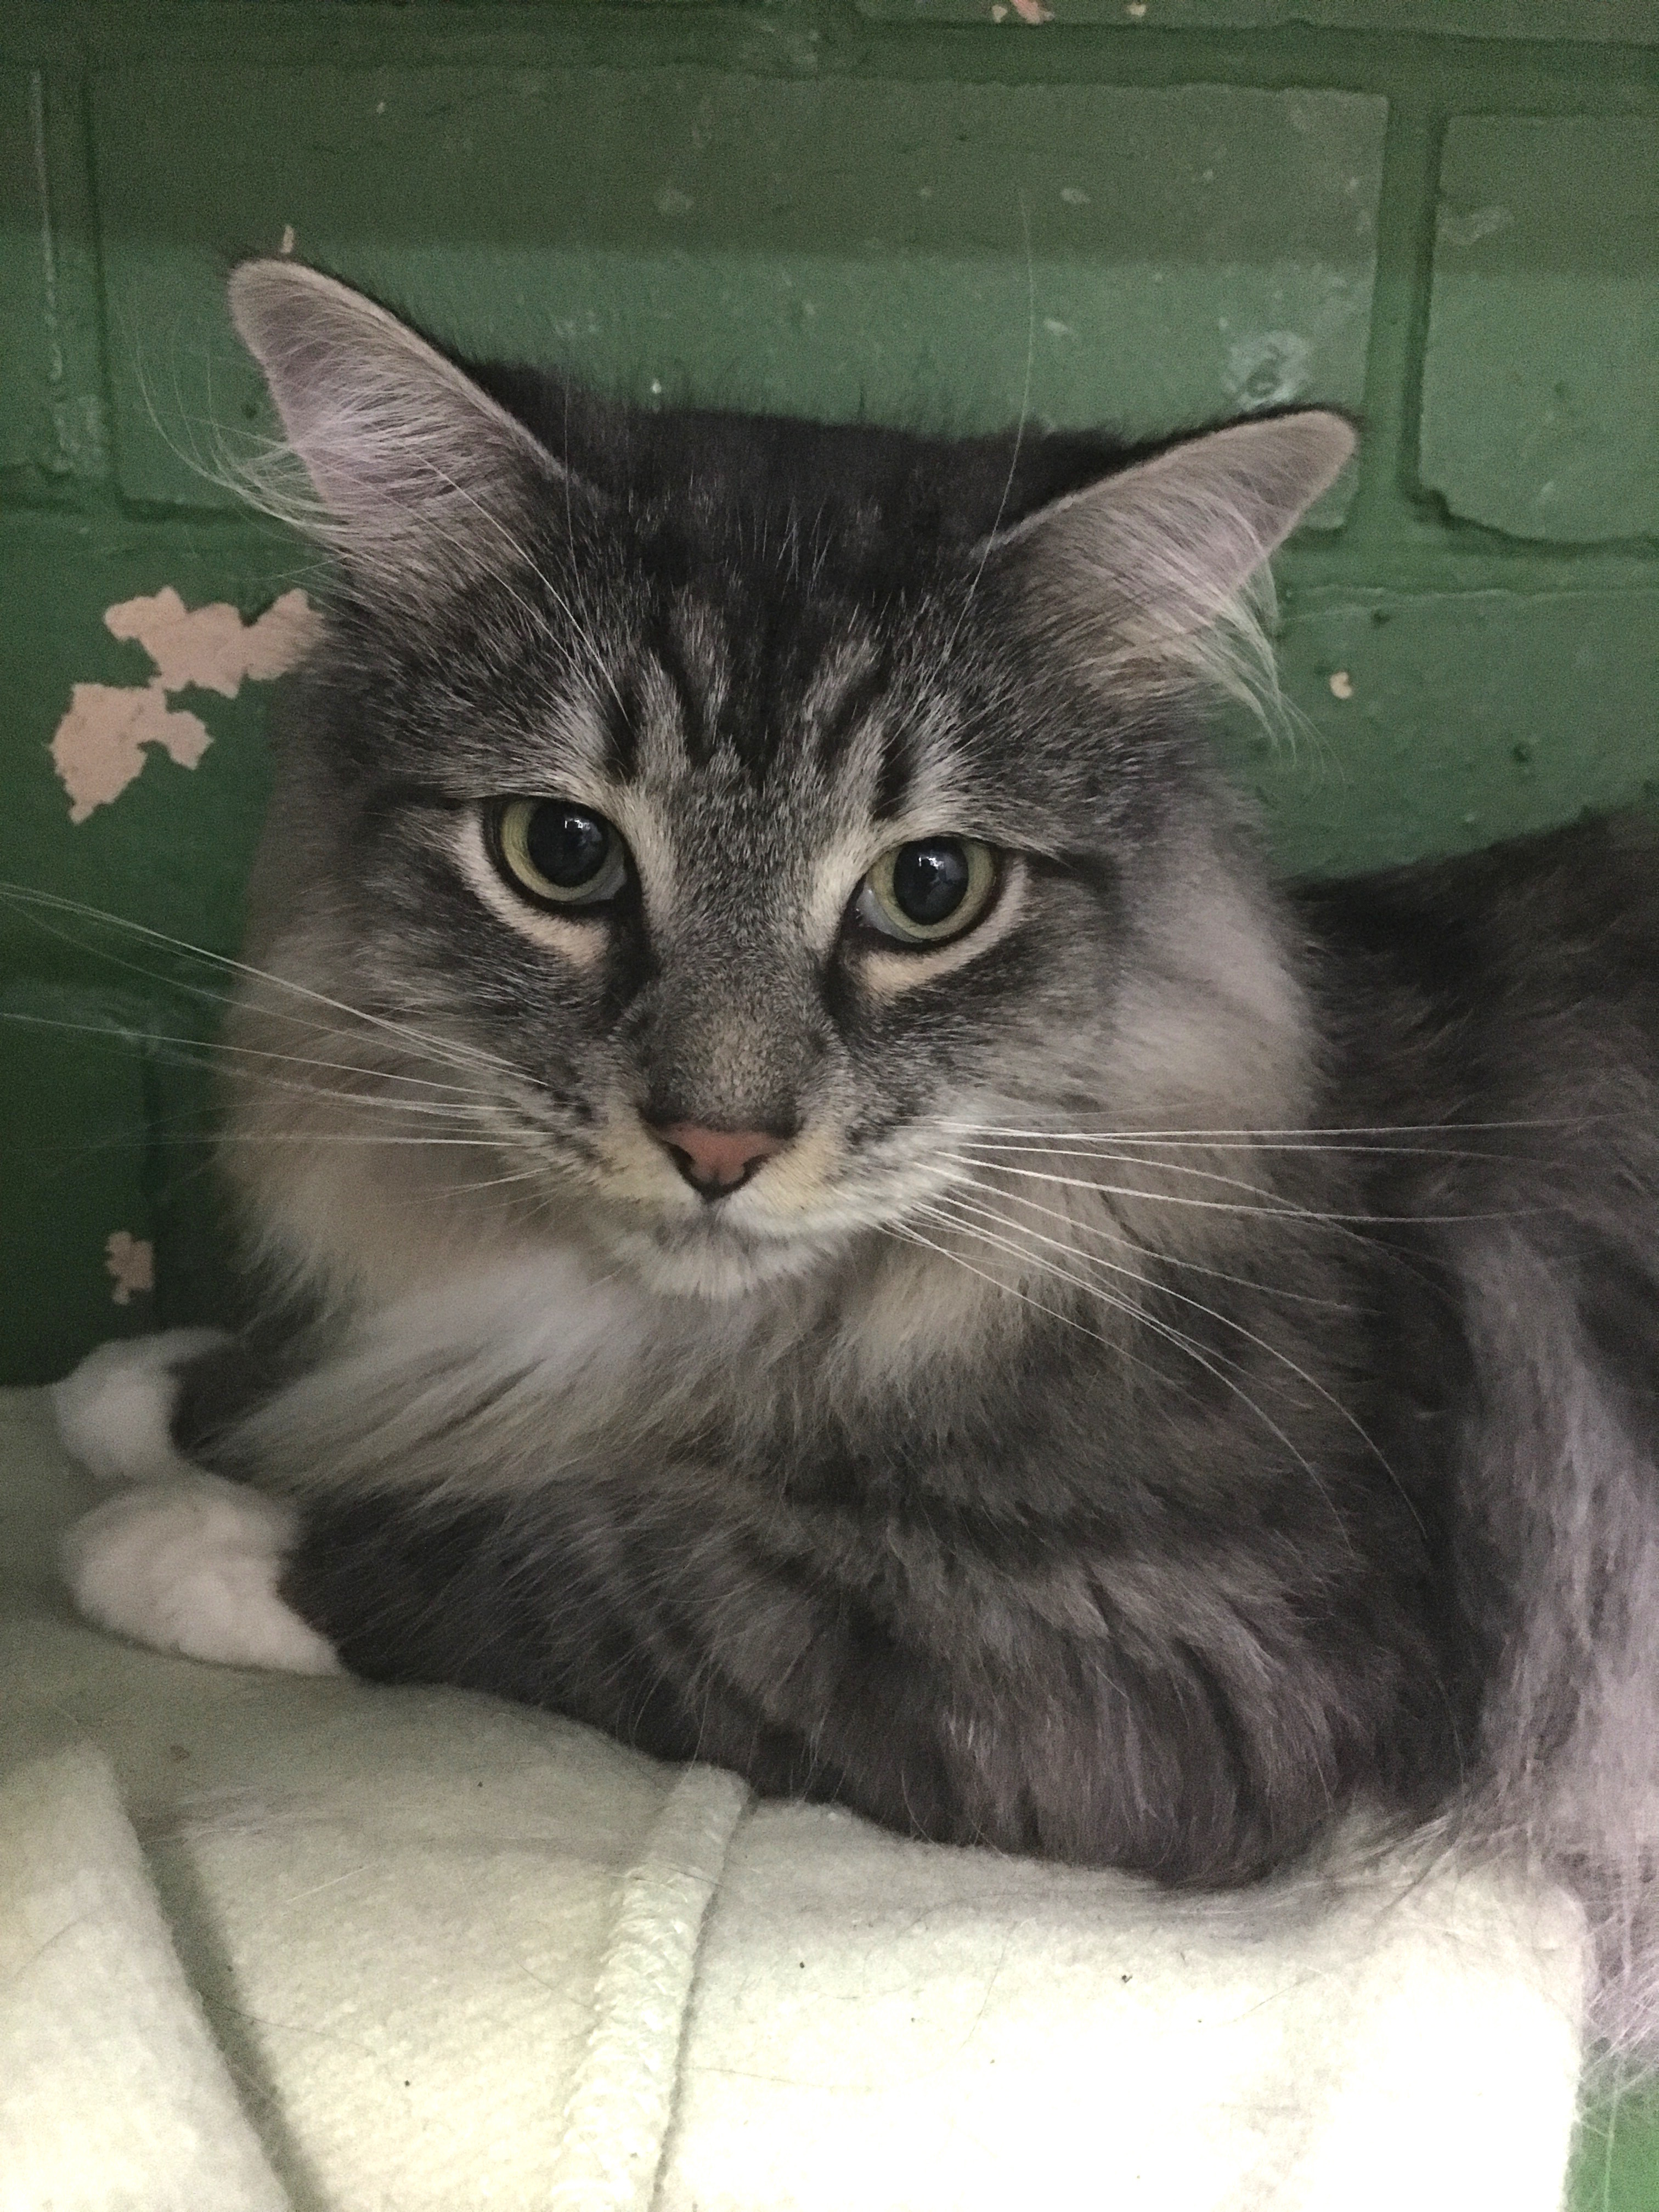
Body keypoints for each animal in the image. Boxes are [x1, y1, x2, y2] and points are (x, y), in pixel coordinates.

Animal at [55, 257, 1659, 2054]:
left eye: (931, 889)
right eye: (562, 853)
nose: (717, 1141)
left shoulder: (1201, 1651)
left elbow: (606, 1560)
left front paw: (190, 1538)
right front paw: (152, 1392)